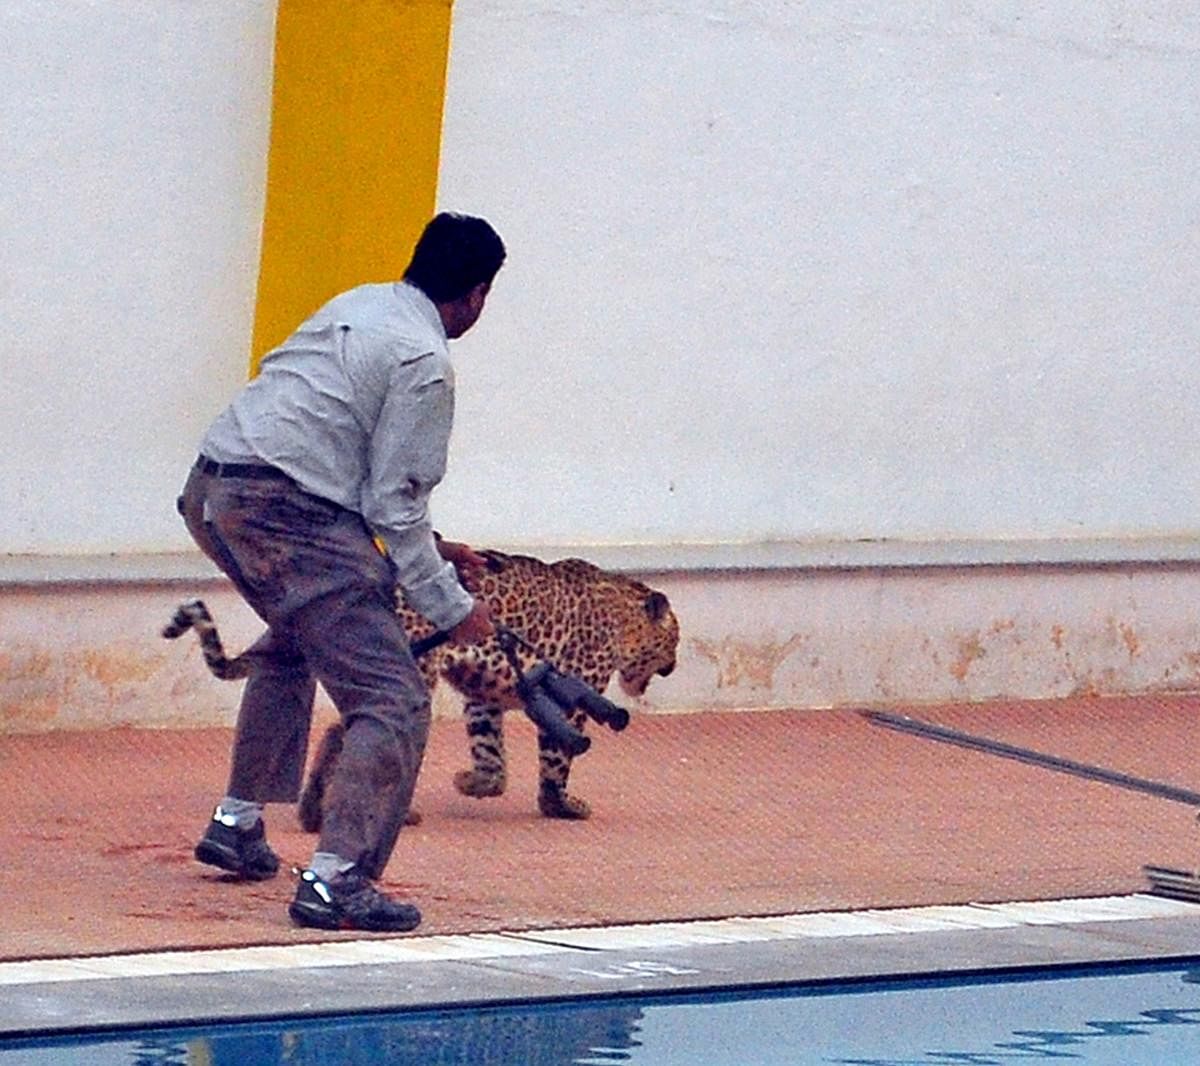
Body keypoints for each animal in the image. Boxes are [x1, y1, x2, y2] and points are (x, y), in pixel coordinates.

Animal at [164, 554, 681, 830]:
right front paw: (560, 805)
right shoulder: (570, 696)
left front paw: (475, 783)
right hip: (413, 674)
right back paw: (389, 813)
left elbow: (491, 754)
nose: (674, 666)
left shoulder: (483, 695)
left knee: (336, 733)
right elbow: (556, 759)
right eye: (673, 642)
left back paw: (313, 812)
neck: (622, 614)